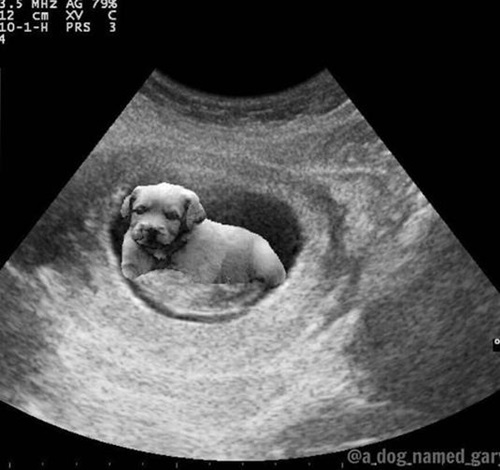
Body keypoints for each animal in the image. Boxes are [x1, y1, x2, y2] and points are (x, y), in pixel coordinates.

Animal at [120, 183, 286, 287]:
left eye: (172, 216)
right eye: (140, 210)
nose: (151, 230)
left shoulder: (193, 273)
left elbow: (164, 274)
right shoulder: (132, 261)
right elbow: (131, 272)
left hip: (264, 260)